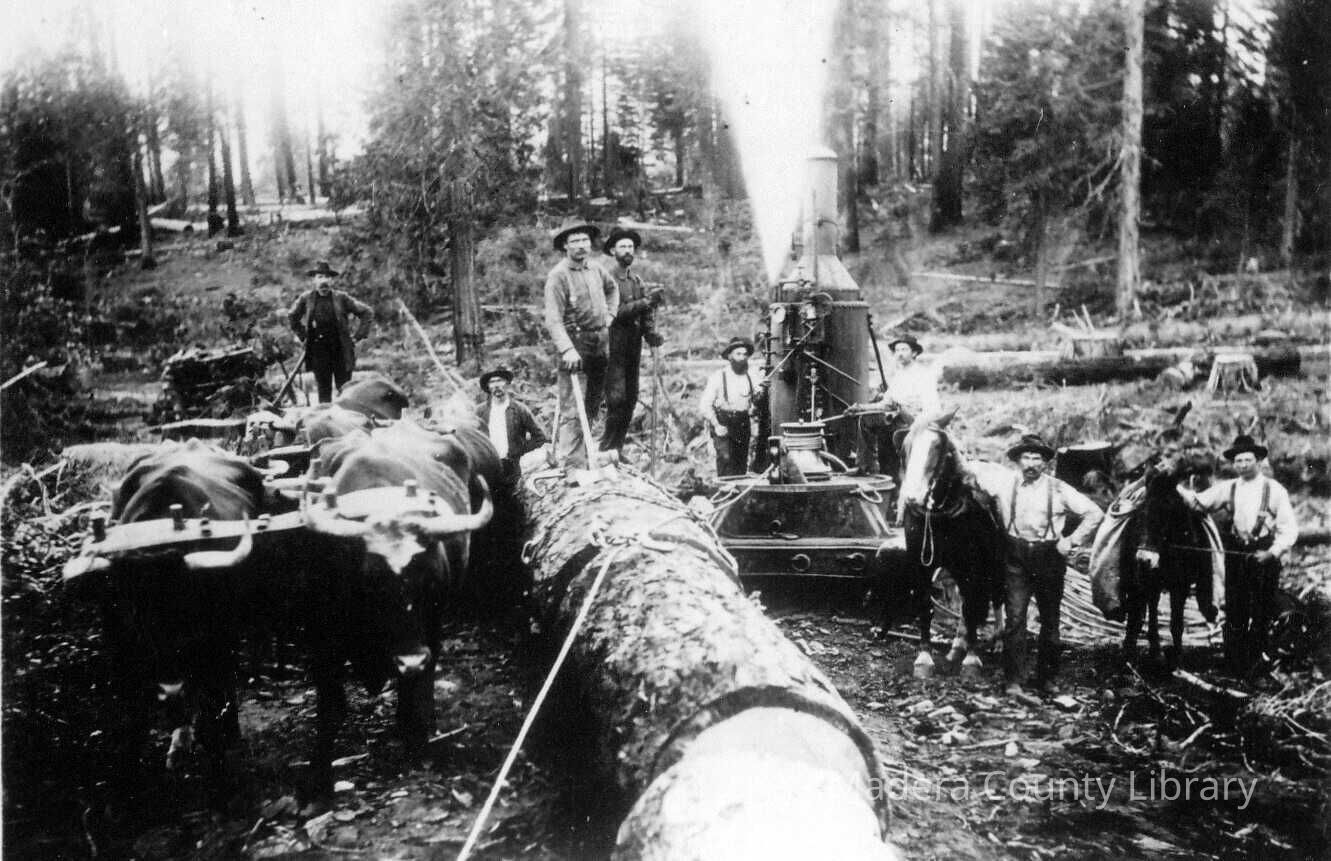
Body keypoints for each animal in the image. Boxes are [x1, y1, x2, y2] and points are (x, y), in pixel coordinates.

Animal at [297, 418, 496, 796]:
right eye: (372, 584)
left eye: (428, 583)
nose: (410, 660)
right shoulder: (322, 635)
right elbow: (330, 707)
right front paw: (317, 782)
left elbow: (417, 686)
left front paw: (417, 741)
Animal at [892, 410, 1005, 679]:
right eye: (906, 448)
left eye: (936, 446)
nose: (911, 497)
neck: (942, 514)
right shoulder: (920, 562)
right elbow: (926, 605)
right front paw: (924, 658)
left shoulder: (975, 564)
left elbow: (975, 606)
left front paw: (972, 660)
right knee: (965, 602)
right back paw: (956, 646)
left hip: (996, 564)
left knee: (996, 598)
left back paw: (998, 640)